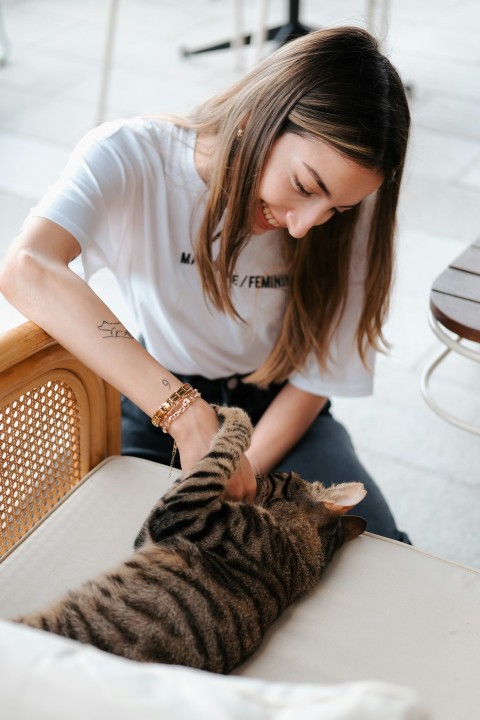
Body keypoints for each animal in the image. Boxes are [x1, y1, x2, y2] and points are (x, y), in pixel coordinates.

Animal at [15, 404, 368, 676]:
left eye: (284, 474)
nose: (259, 473)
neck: (294, 549)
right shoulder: (150, 532)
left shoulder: (178, 511)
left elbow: (222, 453)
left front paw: (232, 413)